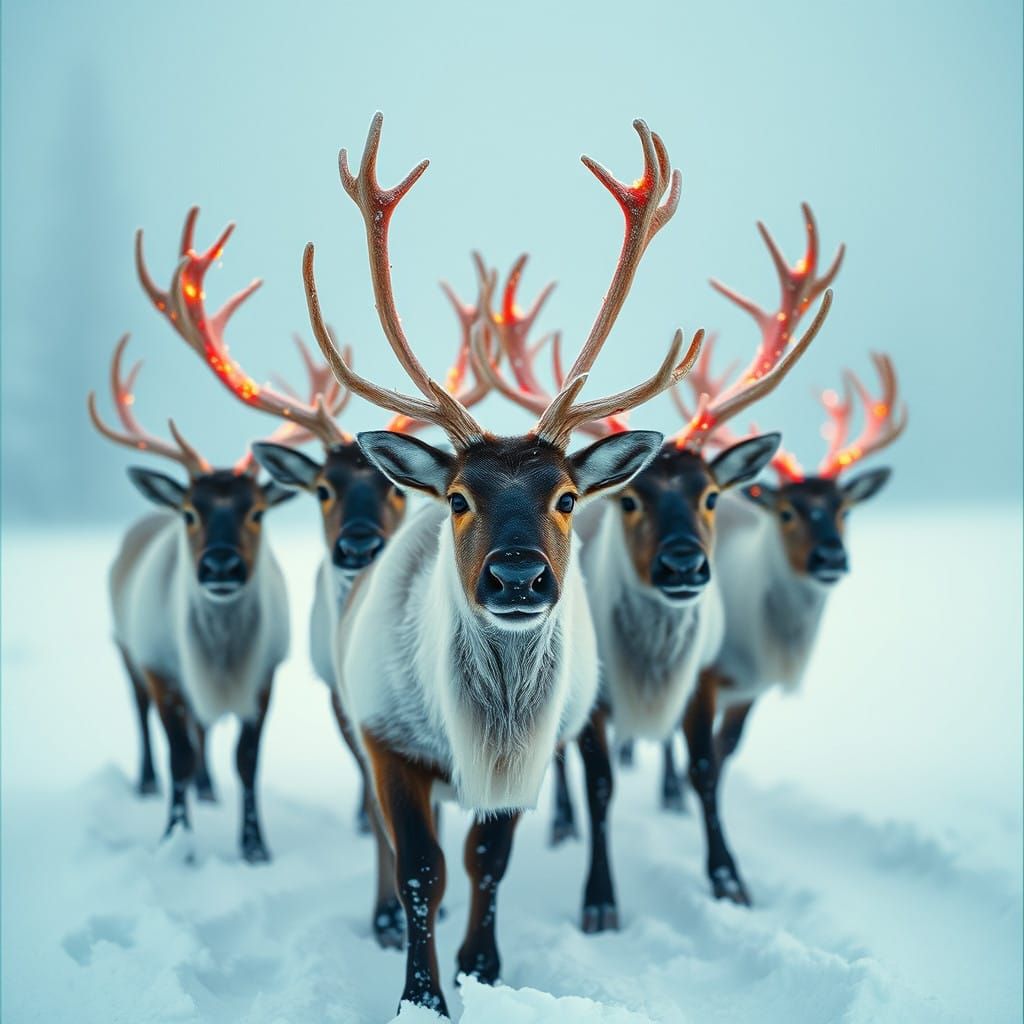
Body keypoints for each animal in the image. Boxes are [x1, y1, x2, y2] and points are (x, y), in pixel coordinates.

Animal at [297, 112, 704, 1014]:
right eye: (457, 498)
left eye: (568, 497)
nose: (518, 576)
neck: (475, 731)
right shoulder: (387, 740)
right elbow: (420, 869)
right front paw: (420, 995)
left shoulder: (533, 754)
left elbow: (489, 863)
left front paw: (482, 968)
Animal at [483, 205, 839, 924]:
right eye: (632, 498)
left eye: (711, 494)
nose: (682, 566)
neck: (644, 664)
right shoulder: (594, 696)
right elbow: (598, 785)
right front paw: (599, 899)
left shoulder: (700, 678)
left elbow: (706, 773)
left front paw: (728, 878)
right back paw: (560, 824)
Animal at [675, 344, 906, 905]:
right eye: (787, 512)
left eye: (845, 510)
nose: (831, 558)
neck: (757, 640)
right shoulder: (702, 676)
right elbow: (703, 765)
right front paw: (725, 879)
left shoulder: (749, 690)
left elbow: (723, 754)